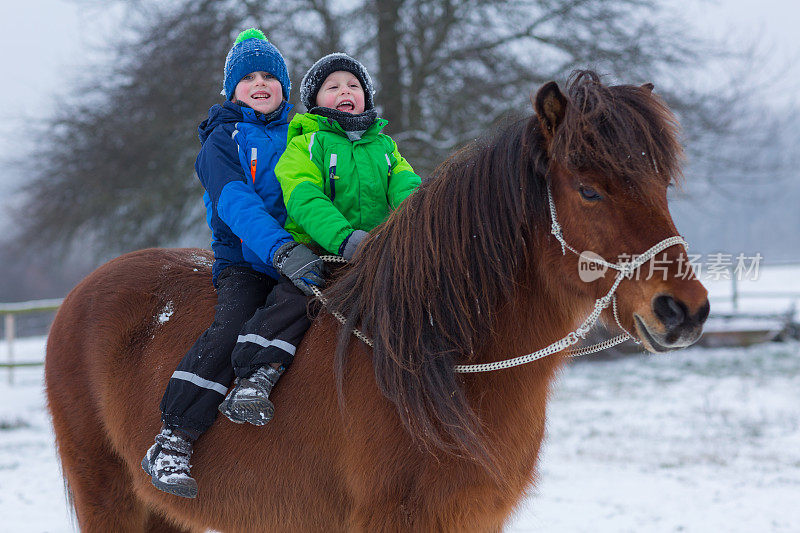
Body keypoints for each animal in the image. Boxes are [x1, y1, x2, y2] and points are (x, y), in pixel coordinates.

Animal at [45, 71, 708, 532]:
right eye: (589, 190)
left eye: (660, 183)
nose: (685, 310)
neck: (433, 363)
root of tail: (80, 295)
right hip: (110, 499)